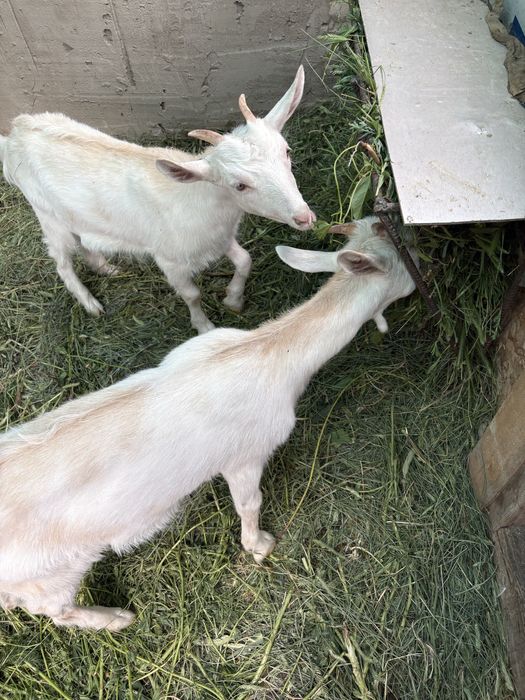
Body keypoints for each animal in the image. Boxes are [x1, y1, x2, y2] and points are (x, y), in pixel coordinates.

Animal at [0, 67, 315, 333]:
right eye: (239, 185)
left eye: (286, 152)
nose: (304, 216)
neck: (199, 200)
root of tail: (16, 131)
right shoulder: (169, 258)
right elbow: (192, 294)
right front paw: (204, 327)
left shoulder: (219, 238)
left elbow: (245, 260)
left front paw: (233, 301)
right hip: (47, 215)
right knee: (62, 261)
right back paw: (91, 304)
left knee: (84, 243)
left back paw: (107, 268)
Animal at [0, 216, 416, 631]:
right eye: (407, 266)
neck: (269, 353)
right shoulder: (246, 455)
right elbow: (250, 502)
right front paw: (260, 546)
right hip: (50, 574)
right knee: (55, 610)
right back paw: (116, 617)